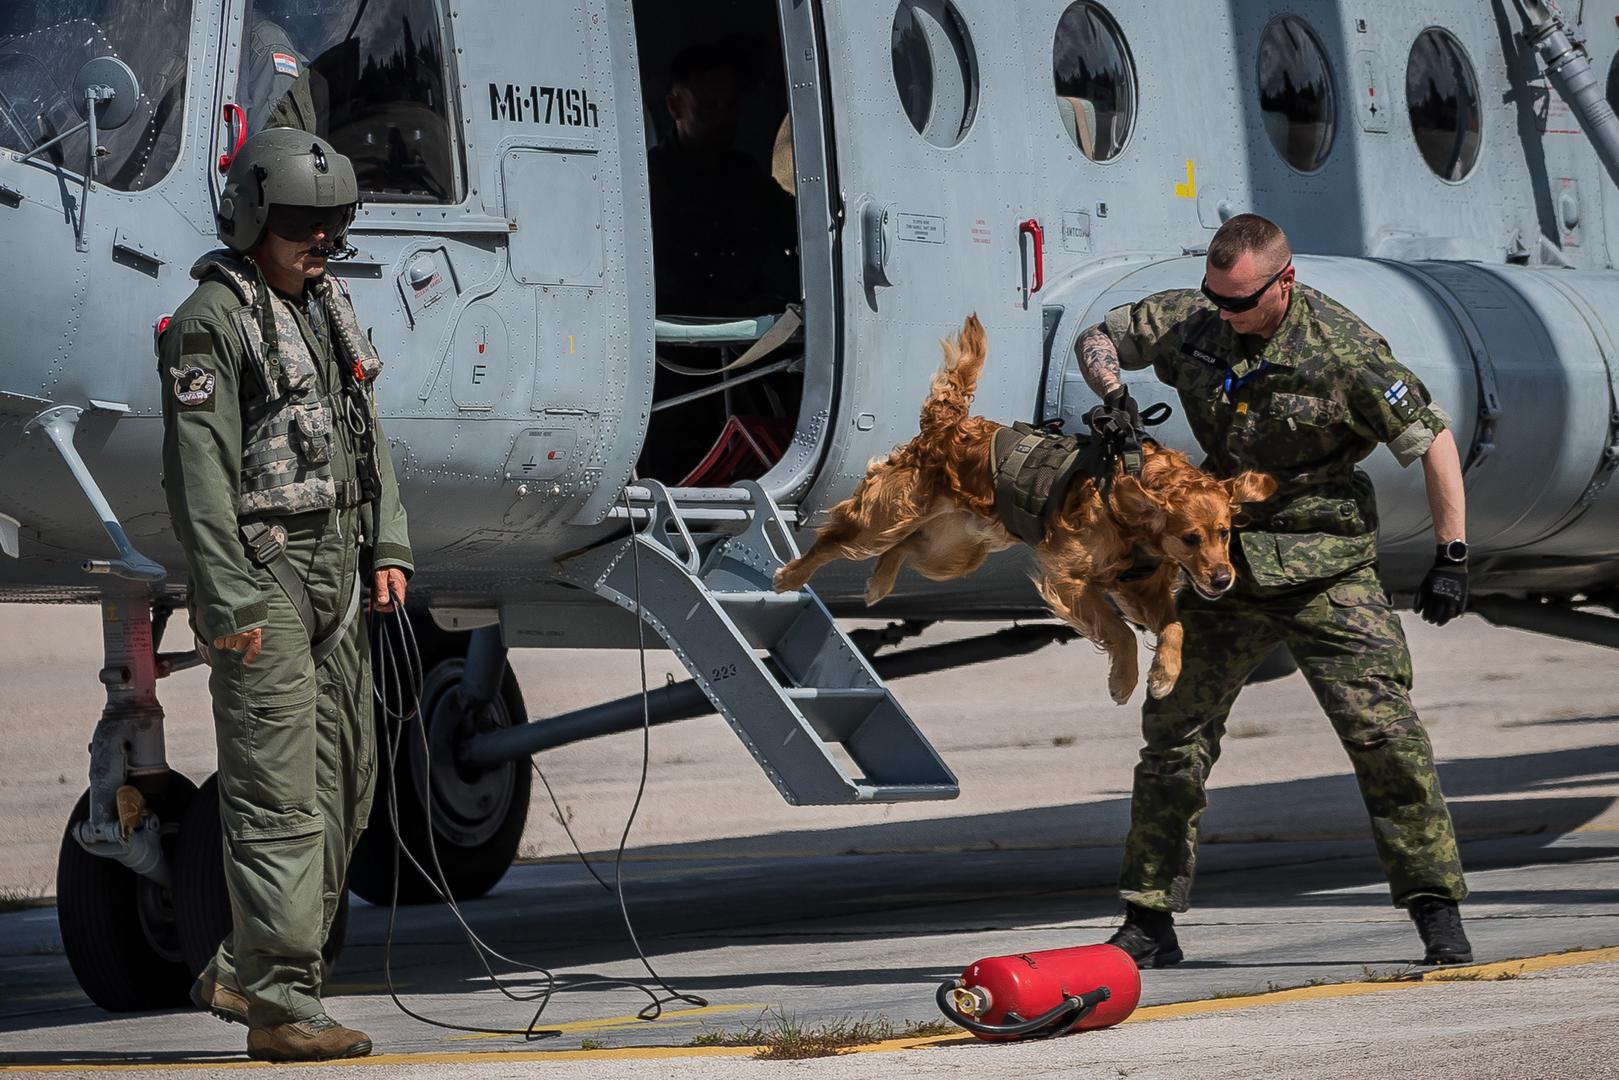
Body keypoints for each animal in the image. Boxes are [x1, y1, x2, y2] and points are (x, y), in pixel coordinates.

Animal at [770, 314, 1275, 702]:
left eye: (1225, 532)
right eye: (1191, 537)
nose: (1223, 579)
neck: (1128, 487)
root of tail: (947, 423)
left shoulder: (1140, 587)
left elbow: (1174, 628)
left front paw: (1164, 675)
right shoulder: (1068, 576)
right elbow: (1121, 633)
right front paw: (1124, 680)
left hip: (954, 552)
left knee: (906, 548)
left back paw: (878, 582)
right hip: (887, 517)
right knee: (836, 540)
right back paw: (791, 576)